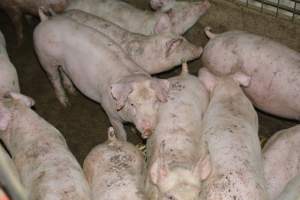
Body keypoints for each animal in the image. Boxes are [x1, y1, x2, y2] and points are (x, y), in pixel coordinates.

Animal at [33, 12, 170, 141]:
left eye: (155, 102)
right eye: (132, 104)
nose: (148, 130)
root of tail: (44, 20)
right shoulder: (109, 111)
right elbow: (120, 133)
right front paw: (123, 142)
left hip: (63, 63)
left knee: (63, 71)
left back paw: (73, 93)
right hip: (45, 59)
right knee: (54, 79)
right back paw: (66, 104)